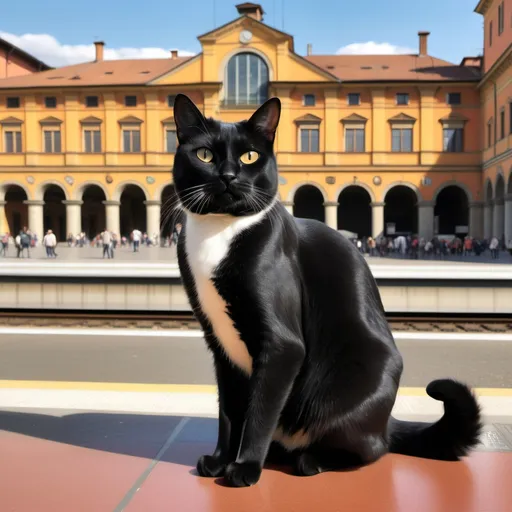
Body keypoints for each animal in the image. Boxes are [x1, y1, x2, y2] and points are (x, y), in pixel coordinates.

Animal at [171, 94, 480, 490]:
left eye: (250, 156)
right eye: (205, 155)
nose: (228, 176)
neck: (219, 232)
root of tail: (386, 422)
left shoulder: (282, 345)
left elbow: (258, 413)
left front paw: (245, 467)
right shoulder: (220, 345)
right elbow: (229, 412)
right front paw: (221, 460)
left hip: (358, 388)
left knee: (371, 449)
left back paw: (310, 460)